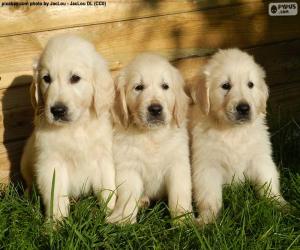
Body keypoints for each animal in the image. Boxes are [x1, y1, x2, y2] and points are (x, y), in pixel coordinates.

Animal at [20, 33, 116, 221]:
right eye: (46, 79)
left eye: (75, 78)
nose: (57, 110)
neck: (75, 127)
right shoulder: (51, 163)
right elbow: (55, 196)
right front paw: (55, 224)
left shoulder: (103, 157)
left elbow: (108, 189)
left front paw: (114, 216)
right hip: (26, 159)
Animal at [108, 53, 192, 225]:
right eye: (138, 87)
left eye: (165, 86)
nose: (155, 109)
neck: (152, 135)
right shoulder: (129, 167)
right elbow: (128, 196)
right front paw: (123, 219)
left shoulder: (178, 163)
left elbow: (180, 192)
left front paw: (183, 219)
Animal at [190, 48, 286, 225]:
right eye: (225, 86)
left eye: (250, 85)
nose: (243, 108)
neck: (233, 131)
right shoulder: (207, 166)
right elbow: (209, 196)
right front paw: (207, 220)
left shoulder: (260, 158)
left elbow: (268, 183)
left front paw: (282, 206)